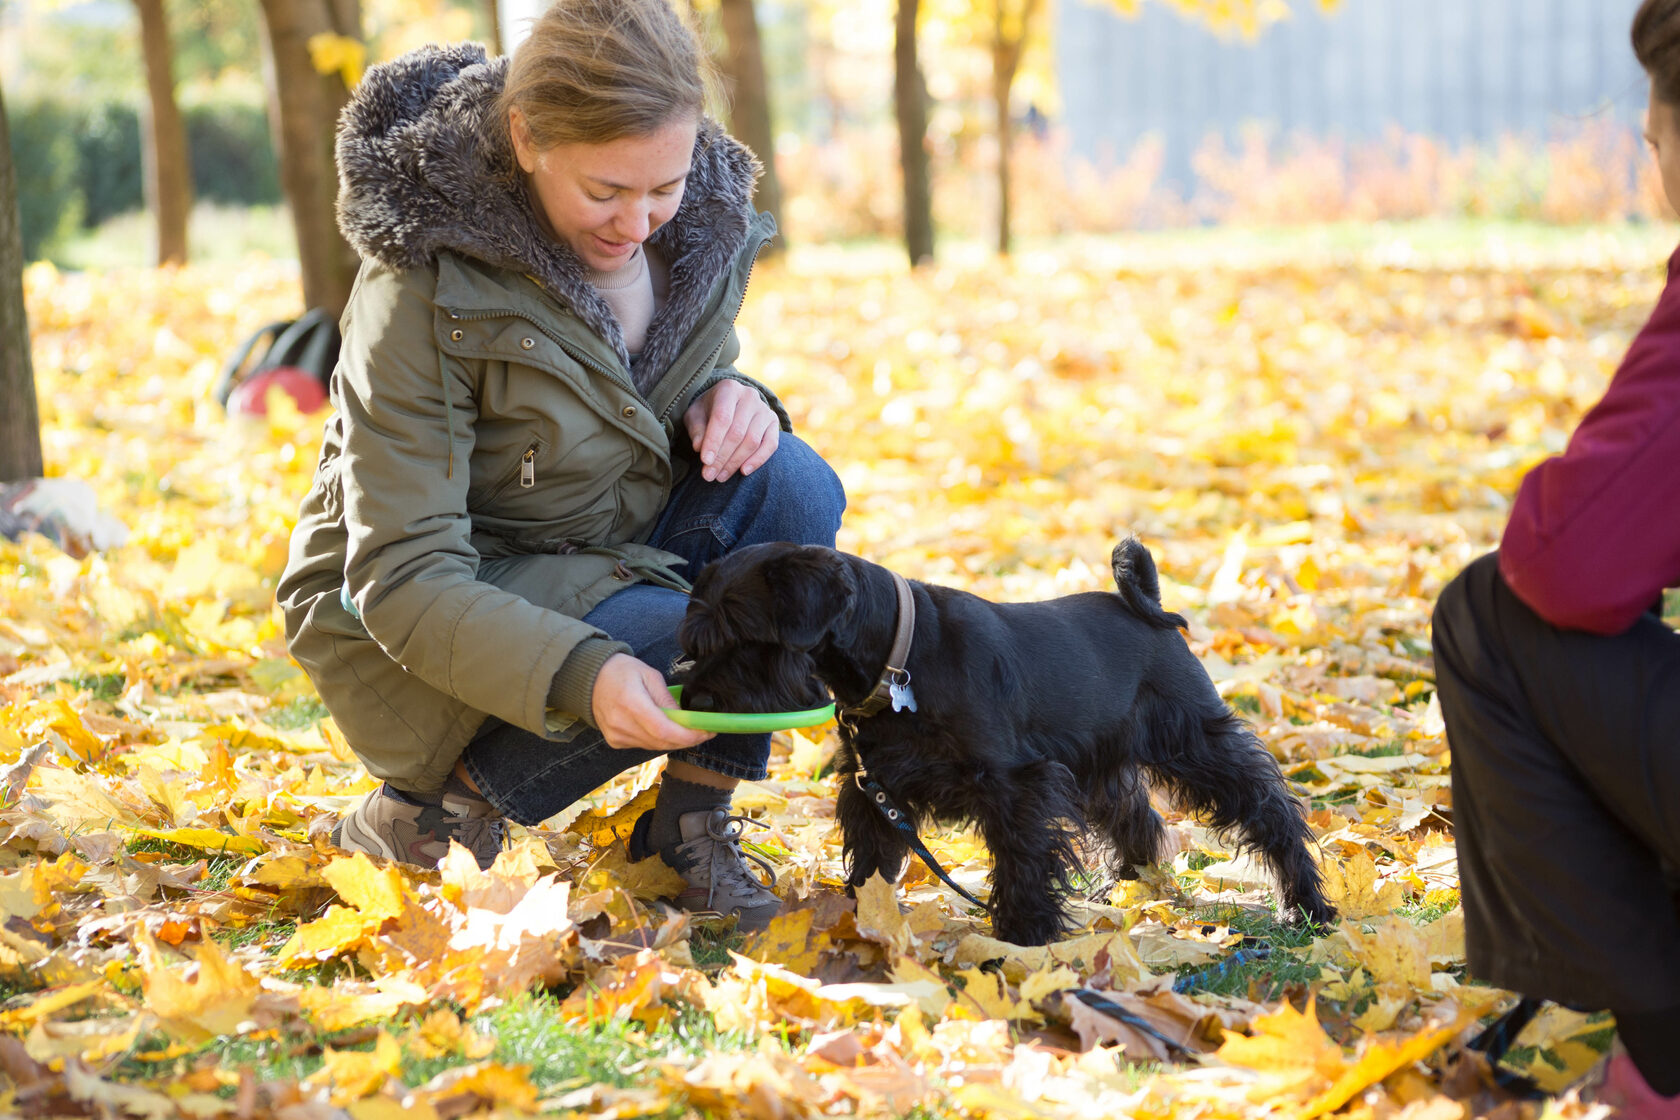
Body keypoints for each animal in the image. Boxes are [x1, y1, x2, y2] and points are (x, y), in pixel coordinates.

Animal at [675, 537, 1330, 940]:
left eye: (738, 632)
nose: (696, 700)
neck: (900, 660)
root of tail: (1144, 607)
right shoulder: (874, 788)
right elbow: (873, 857)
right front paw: (866, 915)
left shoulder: (1016, 786)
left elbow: (1022, 859)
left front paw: (1024, 934)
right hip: (1100, 764)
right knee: (1136, 815)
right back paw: (1126, 889)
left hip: (1196, 743)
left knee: (1269, 809)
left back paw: (1307, 905)